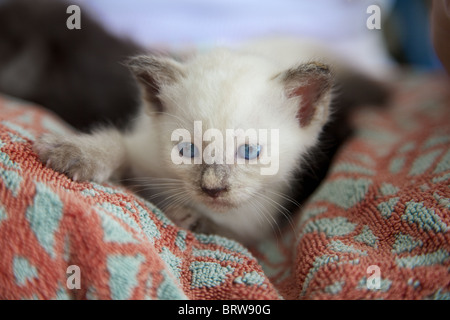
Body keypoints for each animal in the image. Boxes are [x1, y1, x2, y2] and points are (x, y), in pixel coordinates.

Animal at [35, 40, 334, 245]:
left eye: (249, 151)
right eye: (187, 150)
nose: (213, 188)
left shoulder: (258, 229)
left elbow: (229, 234)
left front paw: (190, 217)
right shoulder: (143, 148)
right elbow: (119, 144)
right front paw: (78, 153)